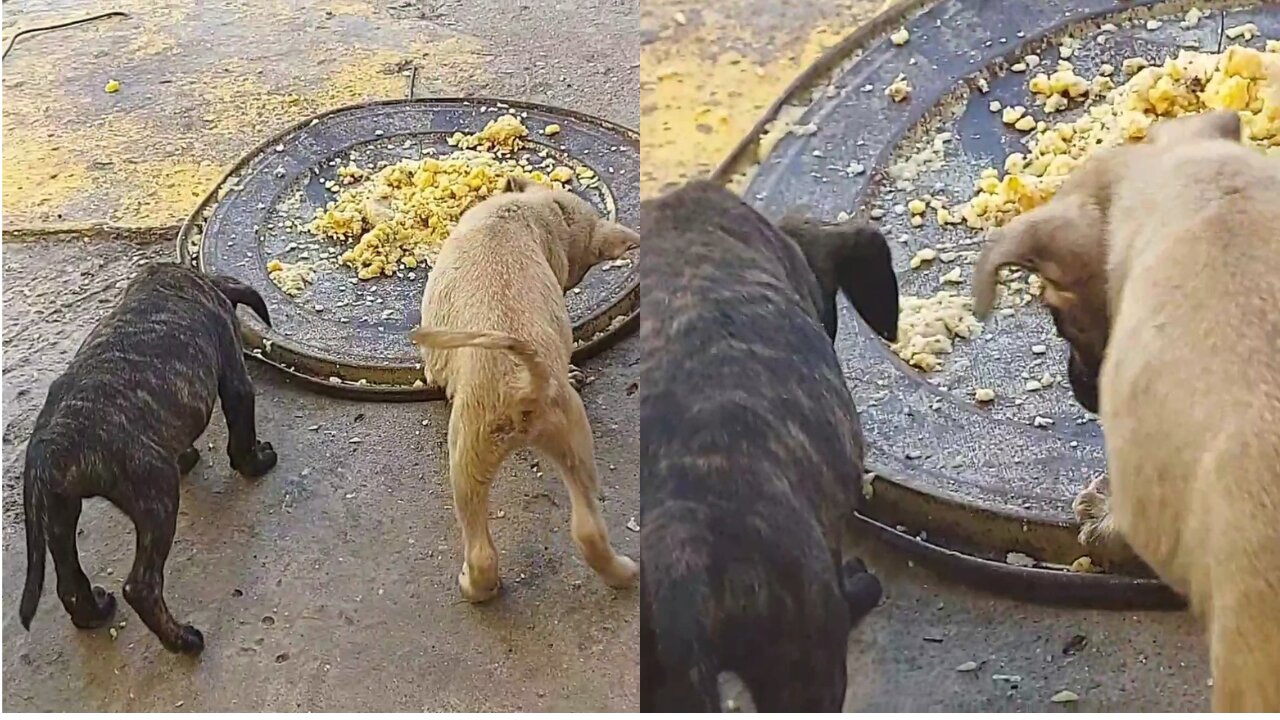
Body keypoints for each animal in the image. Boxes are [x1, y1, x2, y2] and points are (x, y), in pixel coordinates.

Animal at [17, 262, 279, 650]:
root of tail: (54, 444)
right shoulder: (235, 377)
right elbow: (240, 436)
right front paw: (257, 462)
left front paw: (187, 455)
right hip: (157, 496)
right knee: (142, 586)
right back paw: (183, 640)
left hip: (60, 512)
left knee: (69, 583)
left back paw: (95, 612)